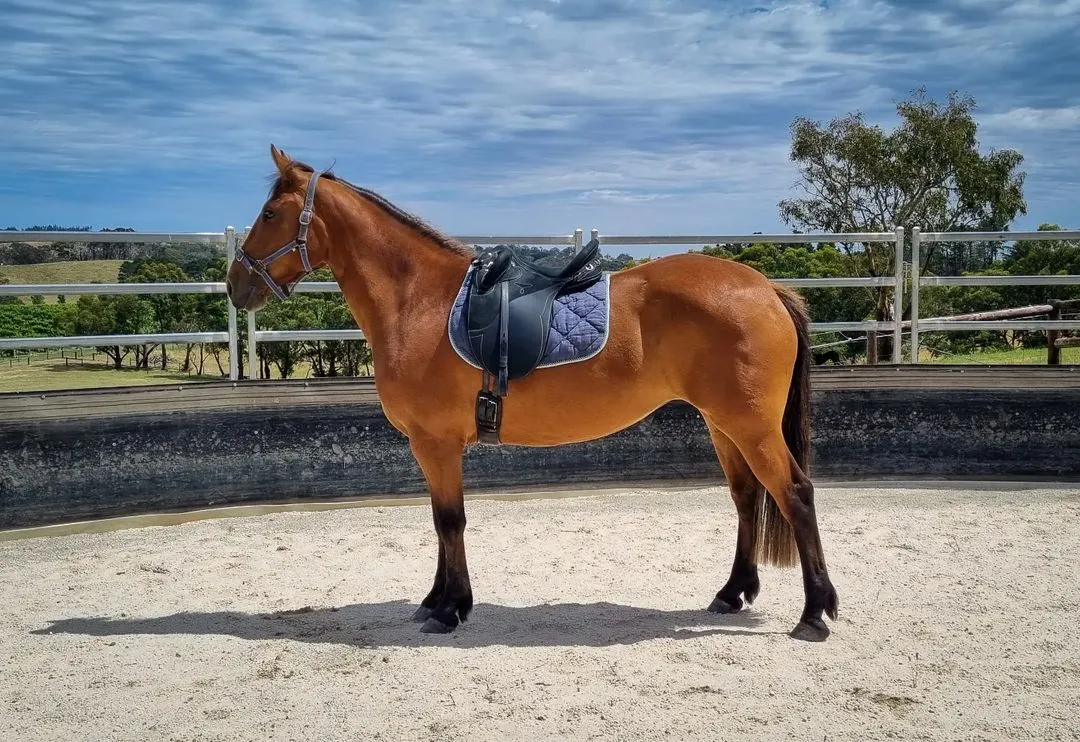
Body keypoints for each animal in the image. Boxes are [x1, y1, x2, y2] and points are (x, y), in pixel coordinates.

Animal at [225, 144, 839, 642]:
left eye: (270, 214)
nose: (236, 284)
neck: (418, 301)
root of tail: (767, 287)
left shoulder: (436, 442)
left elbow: (449, 520)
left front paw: (449, 609)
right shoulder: (432, 446)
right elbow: (440, 520)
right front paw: (436, 600)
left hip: (750, 426)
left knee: (795, 494)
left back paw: (815, 614)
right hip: (723, 423)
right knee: (748, 497)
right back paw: (732, 593)